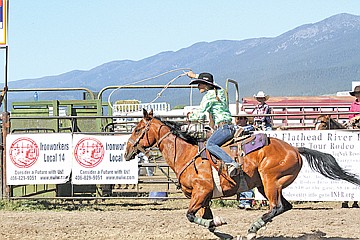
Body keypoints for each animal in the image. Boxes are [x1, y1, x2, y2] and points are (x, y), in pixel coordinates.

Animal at [124, 109, 360, 240]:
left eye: (137, 130)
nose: (126, 152)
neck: (186, 154)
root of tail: (294, 149)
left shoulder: (202, 192)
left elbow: (190, 216)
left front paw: (222, 226)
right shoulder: (204, 198)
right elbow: (205, 220)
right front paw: (222, 230)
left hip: (270, 181)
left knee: (276, 207)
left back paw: (252, 229)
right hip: (267, 185)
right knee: (284, 206)